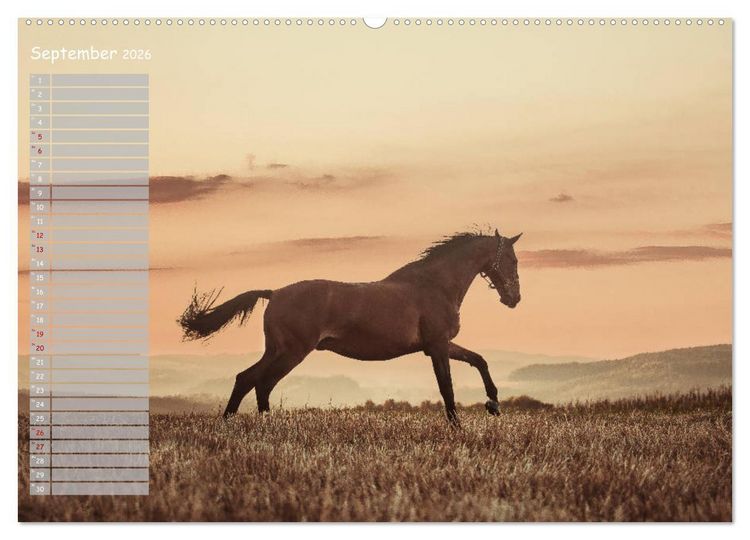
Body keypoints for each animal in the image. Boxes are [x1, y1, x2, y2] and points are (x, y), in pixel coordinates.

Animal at [178, 228, 522, 425]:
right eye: (514, 260)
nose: (514, 298)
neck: (435, 285)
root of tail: (274, 293)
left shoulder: (440, 345)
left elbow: (480, 360)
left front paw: (493, 404)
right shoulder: (436, 346)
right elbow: (447, 387)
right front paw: (457, 427)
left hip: (277, 350)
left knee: (249, 379)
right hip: (291, 352)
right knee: (260, 381)